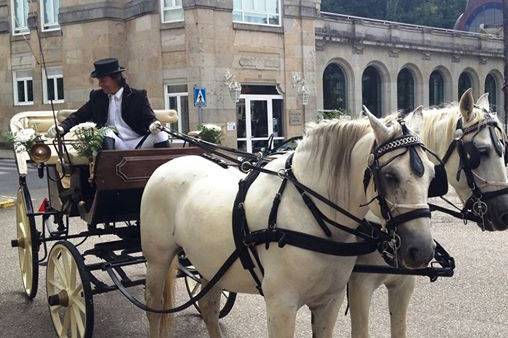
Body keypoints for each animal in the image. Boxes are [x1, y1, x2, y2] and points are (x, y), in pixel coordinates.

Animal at [139, 111, 436, 338]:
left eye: (433, 174)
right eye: (390, 175)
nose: (422, 250)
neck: (311, 215)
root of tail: (171, 163)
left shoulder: (330, 302)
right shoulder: (281, 305)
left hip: (210, 265)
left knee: (208, 305)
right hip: (158, 259)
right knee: (154, 306)